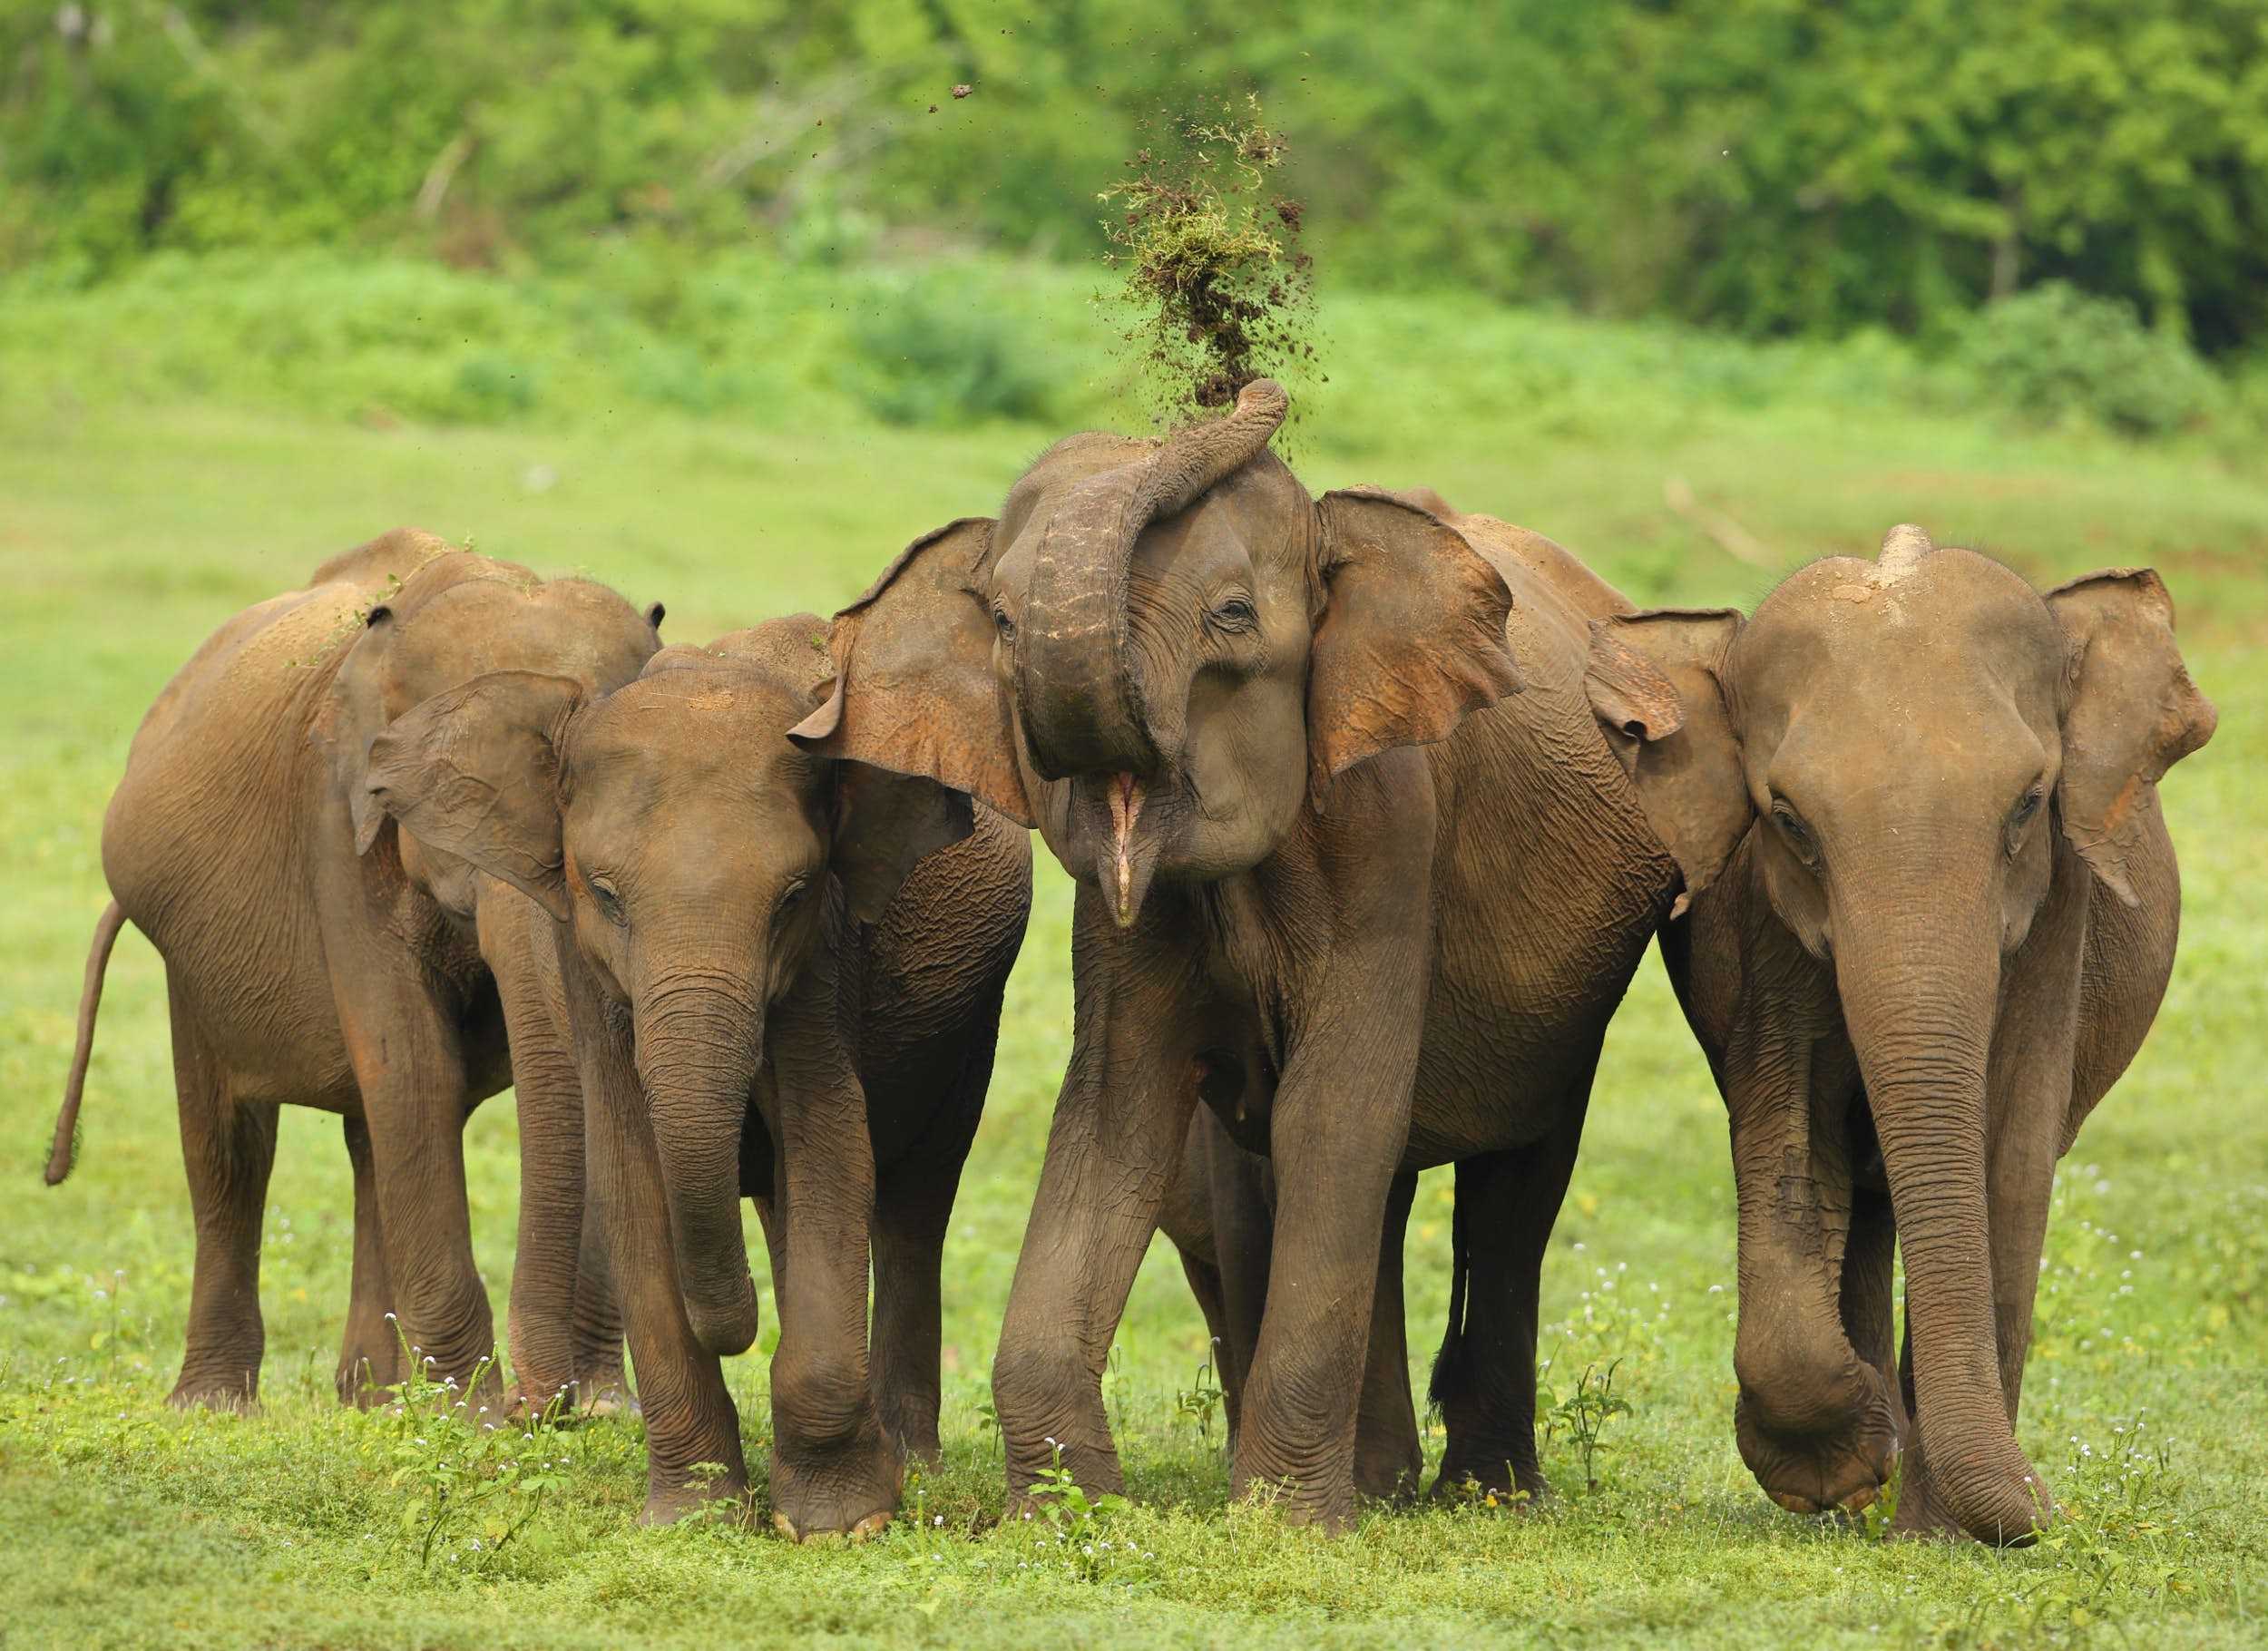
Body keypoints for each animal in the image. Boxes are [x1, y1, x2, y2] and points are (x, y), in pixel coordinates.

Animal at [46, 535, 662, 1415]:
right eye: (446, 800)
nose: (541, 1407)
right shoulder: (335, 820)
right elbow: (411, 1065)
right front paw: (476, 1419)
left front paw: (600, 1412)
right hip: (187, 958)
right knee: (231, 1145)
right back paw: (220, 1407)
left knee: (370, 1138)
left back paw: (373, 1398)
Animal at [358, 617, 1034, 1533]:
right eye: (605, 894)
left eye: (792, 896)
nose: (738, 1326)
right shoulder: (587, 968)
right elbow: (632, 1172)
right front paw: (695, 1518)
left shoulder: (825, 958)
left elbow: (831, 1145)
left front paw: (837, 1525)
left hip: (969, 1020)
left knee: (914, 1203)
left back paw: (909, 1466)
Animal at [798, 381, 1706, 1524]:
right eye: (1000, 623)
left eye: (1231, 617)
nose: (1246, 388)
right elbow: (1115, 1110)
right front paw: (1066, 1516)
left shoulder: (1389, 834)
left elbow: (1335, 1107)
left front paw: (1285, 1523)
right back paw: (1384, 1481)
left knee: (1511, 1188)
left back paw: (1485, 1493)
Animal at [1588, 526, 2223, 1533]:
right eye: (1788, 820)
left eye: (2027, 804)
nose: (2052, 1504)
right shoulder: (1765, 926)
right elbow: (1788, 1131)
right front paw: (1843, 1466)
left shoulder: (2057, 919)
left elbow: (2009, 1157)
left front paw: (1943, 1533)